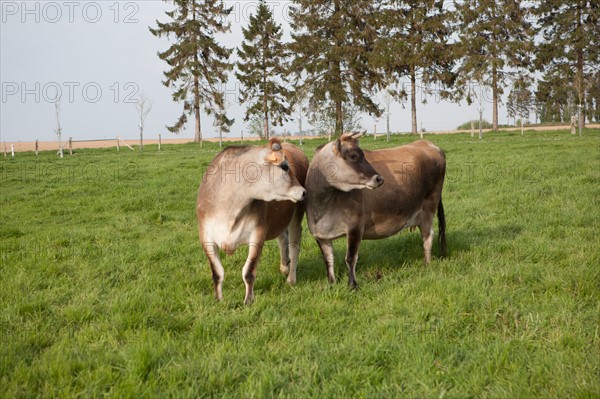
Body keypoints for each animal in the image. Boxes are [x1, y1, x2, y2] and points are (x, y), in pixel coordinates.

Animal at [198, 139, 310, 304]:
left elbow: (248, 271)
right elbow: (217, 272)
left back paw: (291, 279)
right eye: (284, 166)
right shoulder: (205, 236)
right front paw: (218, 299)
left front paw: (249, 301)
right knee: (283, 240)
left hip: (297, 214)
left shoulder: (258, 233)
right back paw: (284, 267)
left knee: (294, 246)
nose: (303, 192)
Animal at [308, 133, 442, 290]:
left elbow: (350, 257)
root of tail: (428, 144)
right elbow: (328, 259)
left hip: (429, 207)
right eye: (354, 156)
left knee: (428, 235)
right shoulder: (319, 235)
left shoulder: (355, 227)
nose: (379, 178)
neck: (323, 205)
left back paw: (427, 264)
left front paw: (352, 285)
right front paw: (331, 283)